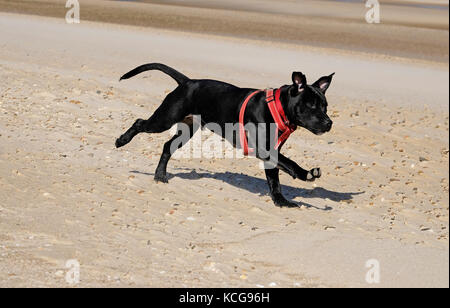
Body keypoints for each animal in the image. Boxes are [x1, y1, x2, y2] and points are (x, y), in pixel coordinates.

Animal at [116, 62, 334, 207]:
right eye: (311, 105)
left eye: (325, 106)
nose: (329, 123)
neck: (277, 108)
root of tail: (188, 82)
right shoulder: (264, 149)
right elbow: (289, 163)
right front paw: (305, 174)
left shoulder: (271, 151)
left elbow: (274, 179)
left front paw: (281, 200)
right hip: (165, 118)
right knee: (139, 123)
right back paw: (122, 140)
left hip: (187, 129)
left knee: (167, 147)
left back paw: (160, 175)